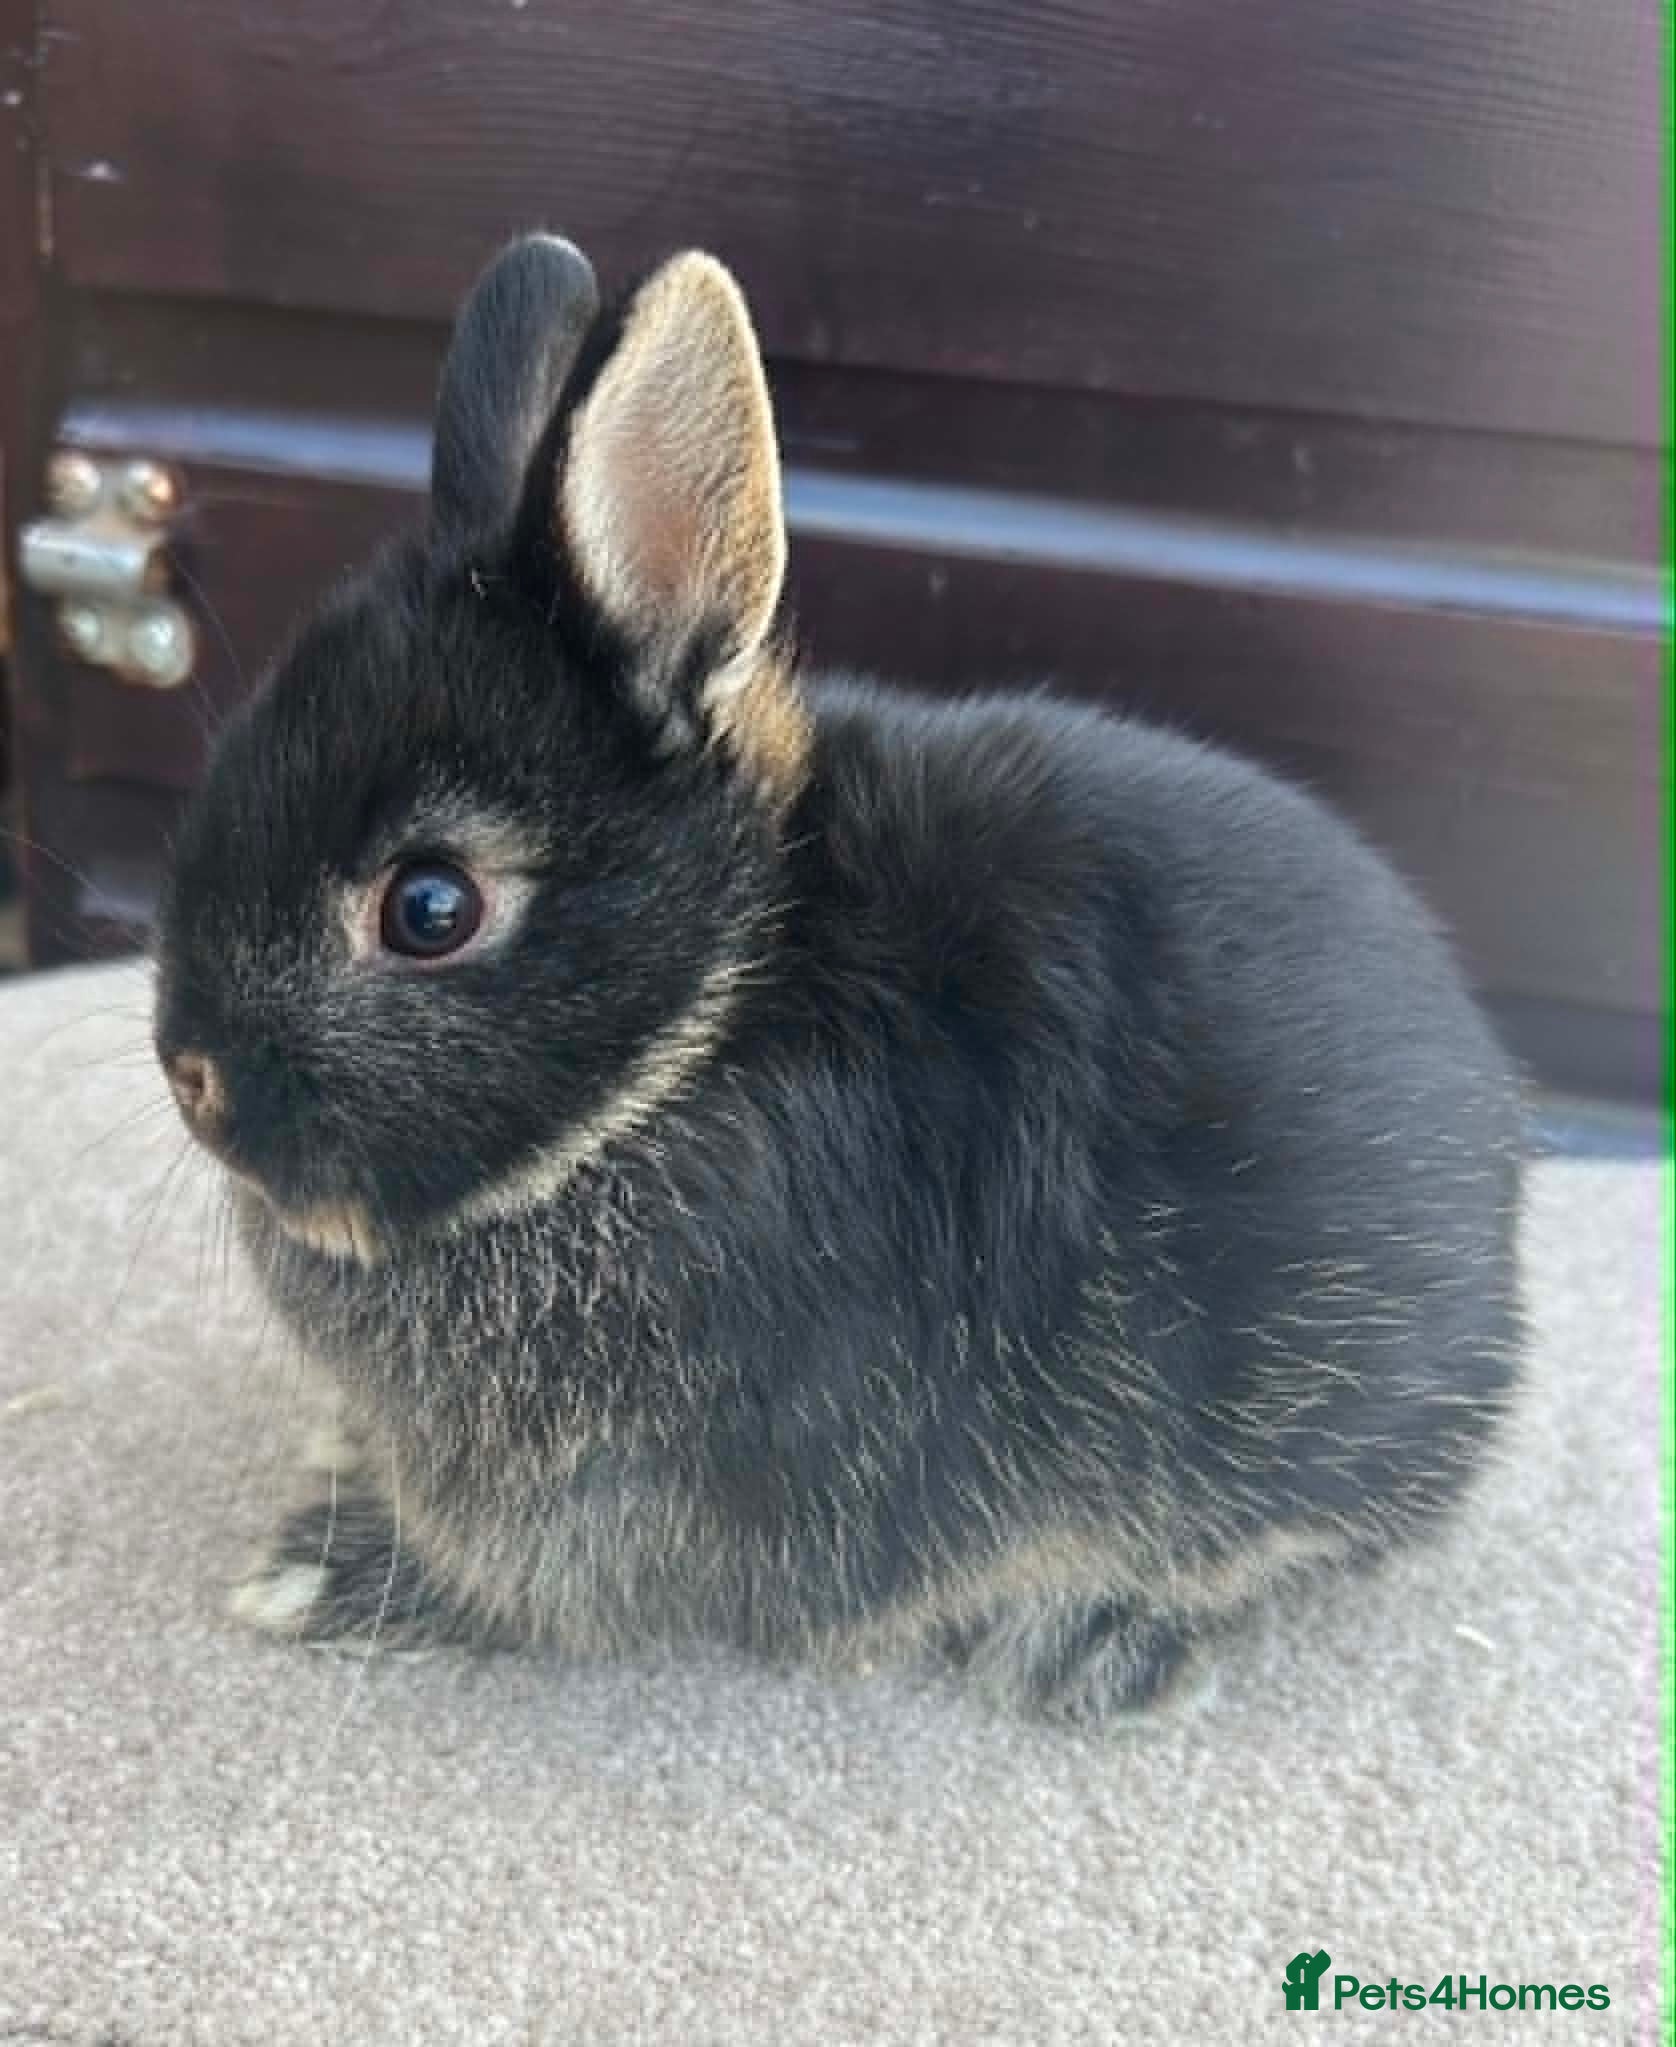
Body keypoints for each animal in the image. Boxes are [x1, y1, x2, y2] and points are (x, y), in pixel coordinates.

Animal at [152, 232, 1522, 1723]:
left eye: (429, 906)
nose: (190, 1072)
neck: (705, 1020)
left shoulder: (620, 1509)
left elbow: (531, 1599)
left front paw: (325, 1572)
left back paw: (1093, 1640)